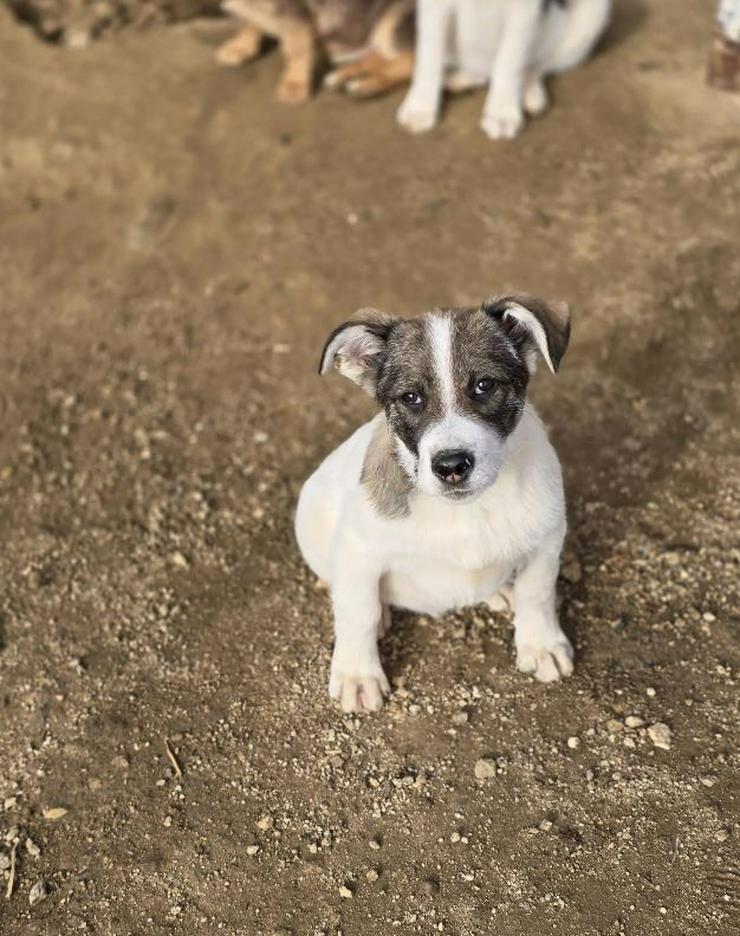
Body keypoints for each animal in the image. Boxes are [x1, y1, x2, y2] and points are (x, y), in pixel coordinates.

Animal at [217, 0, 416, 103]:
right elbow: (248, 24)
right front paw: (239, 48)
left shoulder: (296, 15)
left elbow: (295, 50)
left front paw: (294, 85)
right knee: (380, 57)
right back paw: (345, 75)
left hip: (391, 22)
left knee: (411, 62)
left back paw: (368, 84)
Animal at [298, 296, 576, 712]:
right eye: (411, 398)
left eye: (484, 385)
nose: (451, 467)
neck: (466, 512)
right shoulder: (357, 549)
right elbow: (358, 612)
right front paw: (358, 674)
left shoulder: (547, 538)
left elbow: (538, 592)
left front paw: (541, 645)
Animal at [398, 0, 612, 139]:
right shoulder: (432, 7)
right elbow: (429, 56)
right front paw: (420, 107)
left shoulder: (525, 10)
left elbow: (510, 62)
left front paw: (502, 112)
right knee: (483, 72)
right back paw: (463, 78)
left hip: (592, 15)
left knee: (540, 64)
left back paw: (530, 92)